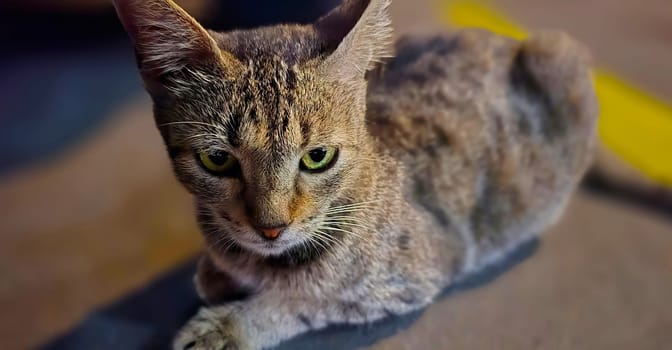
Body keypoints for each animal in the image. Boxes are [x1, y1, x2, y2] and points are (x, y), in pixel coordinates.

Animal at [111, 0, 600, 348]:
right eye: (217, 159)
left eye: (317, 157)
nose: (271, 228)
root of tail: (506, 40)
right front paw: (216, 273)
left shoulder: (410, 277)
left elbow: (303, 299)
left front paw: (229, 324)